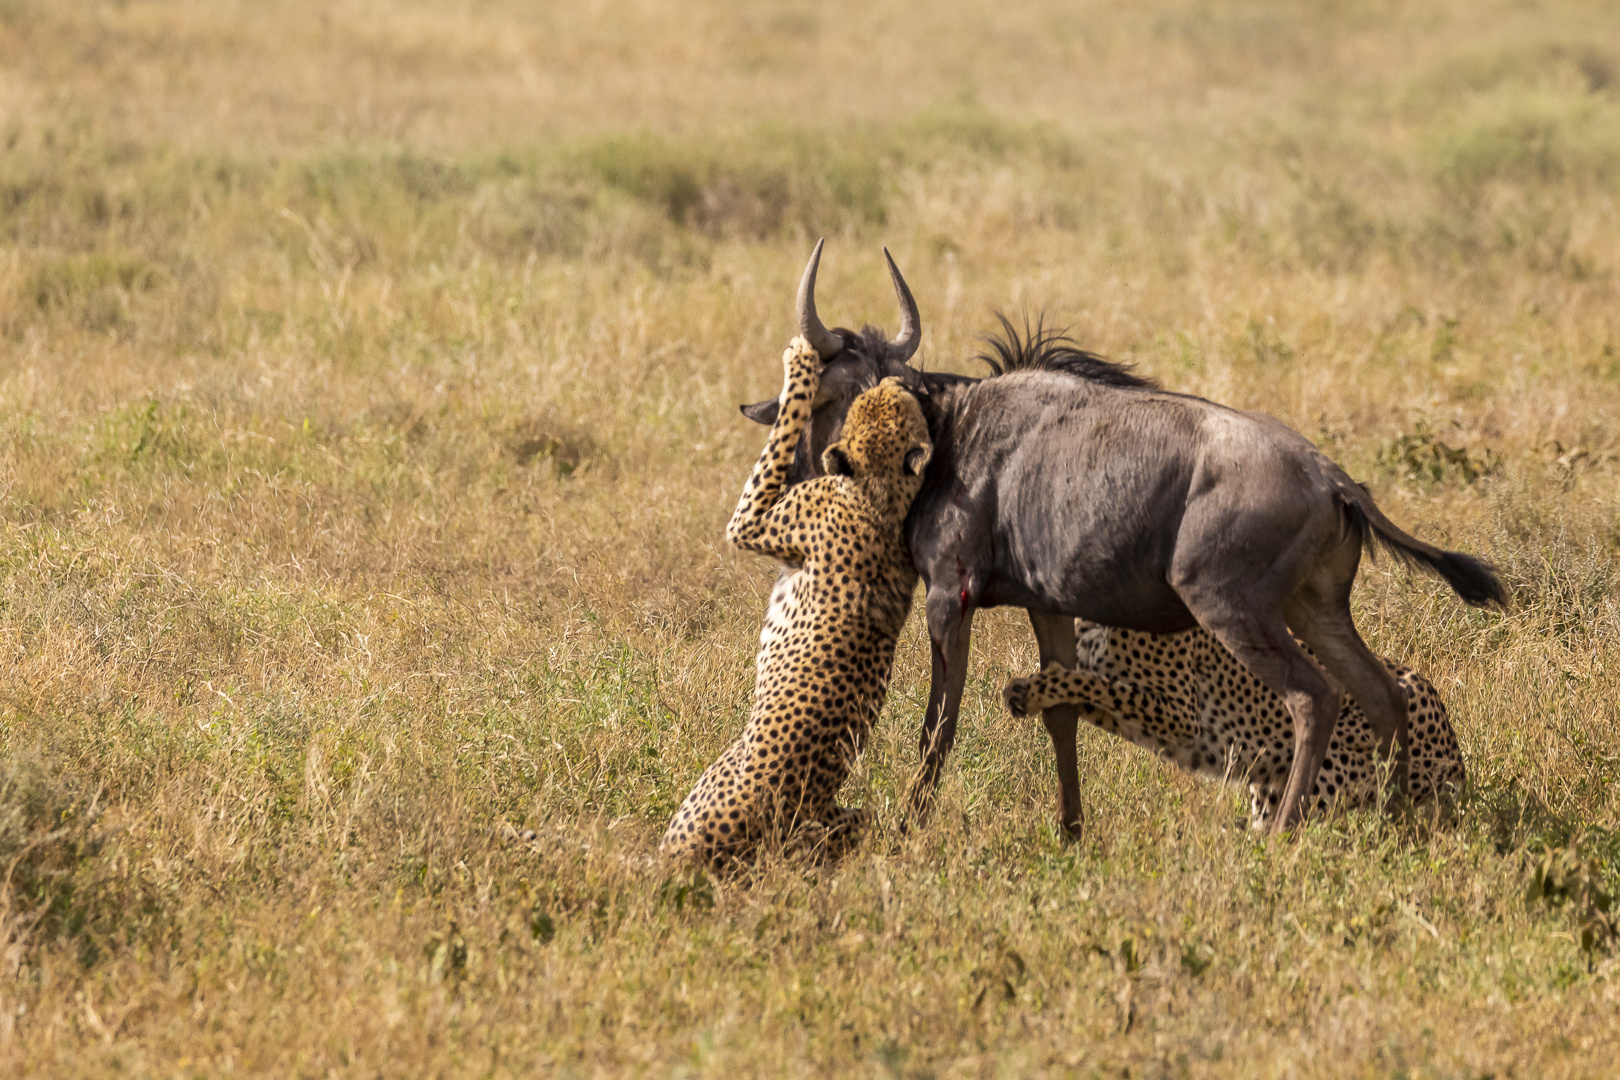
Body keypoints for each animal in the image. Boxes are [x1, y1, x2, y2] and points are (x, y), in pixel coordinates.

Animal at [660, 335, 939, 867]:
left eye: (885, 404)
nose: (899, 381)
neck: (880, 492)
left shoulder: (749, 521)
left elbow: (781, 435)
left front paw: (799, 361)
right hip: (849, 817)